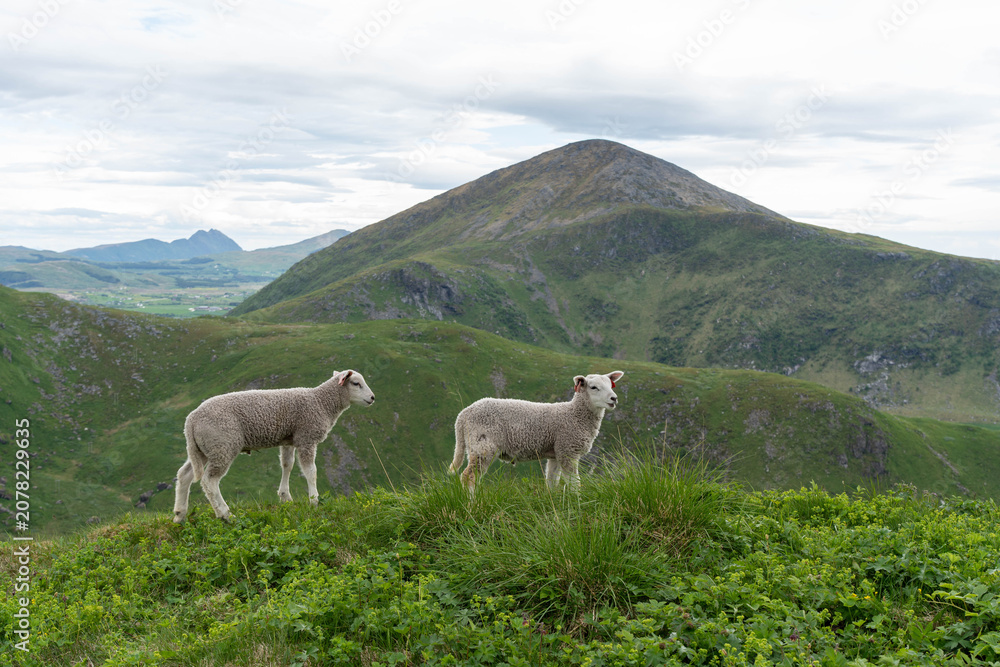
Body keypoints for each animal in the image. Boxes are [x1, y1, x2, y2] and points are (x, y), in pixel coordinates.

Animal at [172, 370, 375, 523]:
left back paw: (180, 515)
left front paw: (285, 497)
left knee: (185, 475)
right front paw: (314, 501)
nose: (373, 398)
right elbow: (311, 471)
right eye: (356, 383)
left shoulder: (289, 440)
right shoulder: (306, 438)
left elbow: (287, 465)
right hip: (222, 445)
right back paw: (225, 514)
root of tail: (191, 420)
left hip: (203, 448)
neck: (321, 402)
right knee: (209, 481)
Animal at [449, 371, 624, 494]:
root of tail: (462, 415)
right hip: (483, 444)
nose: (614, 398)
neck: (574, 415)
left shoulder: (556, 453)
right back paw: (472, 504)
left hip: (476, 444)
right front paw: (577, 502)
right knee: (468, 477)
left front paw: (552, 500)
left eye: (611, 385)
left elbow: (552, 481)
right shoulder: (568, 450)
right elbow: (575, 483)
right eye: (593, 387)